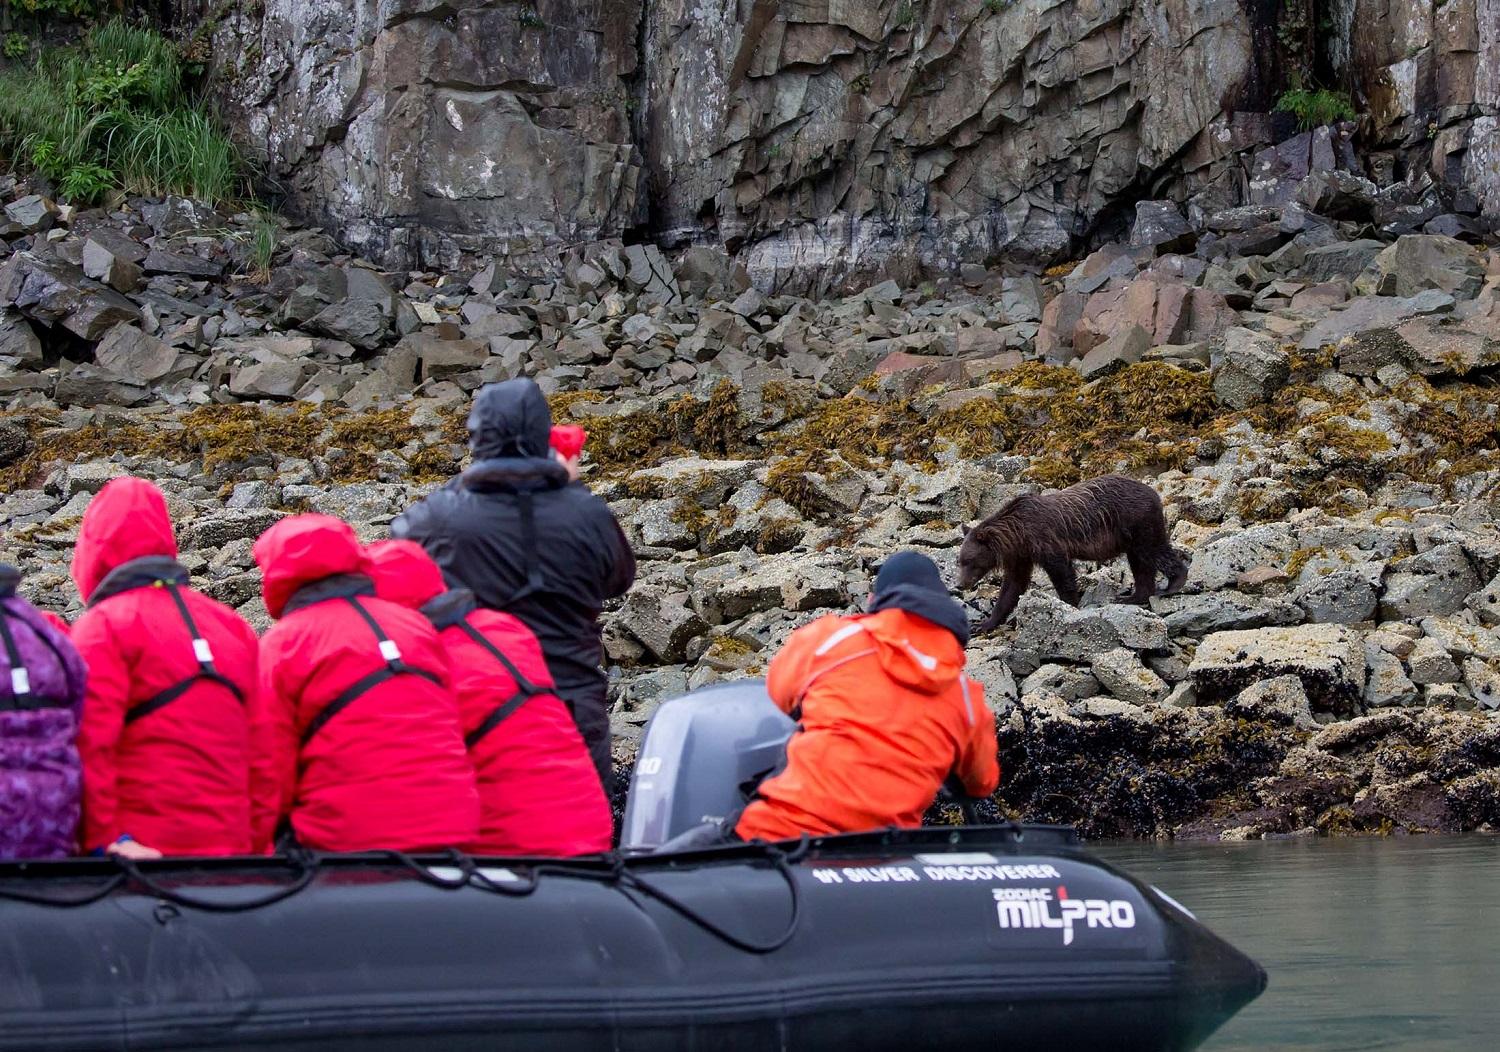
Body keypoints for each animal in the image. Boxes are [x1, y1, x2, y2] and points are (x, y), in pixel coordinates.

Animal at [955, 474, 1188, 633]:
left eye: (969, 560)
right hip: (1131, 536)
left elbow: (1062, 573)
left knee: (1154, 550)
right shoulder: (1021, 556)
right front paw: (984, 623)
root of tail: (1155, 493)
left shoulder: (1045, 540)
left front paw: (1068, 605)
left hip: (1138, 522)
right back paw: (1132, 597)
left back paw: (1173, 584)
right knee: (1140, 564)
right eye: (959, 561)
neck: (1018, 534)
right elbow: (1012, 587)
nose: (960, 584)